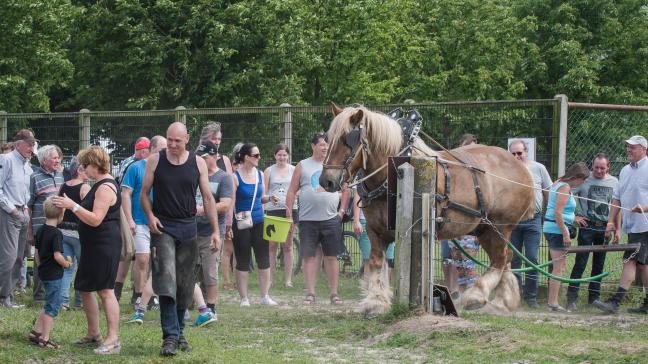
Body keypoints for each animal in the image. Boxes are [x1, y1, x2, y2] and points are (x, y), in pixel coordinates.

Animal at [320, 104, 536, 318]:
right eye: (329, 139)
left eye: (347, 139)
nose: (326, 181)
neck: (390, 171)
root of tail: (521, 168)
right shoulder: (375, 230)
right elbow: (375, 262)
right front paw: (376, 302)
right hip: (483, 228)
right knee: (506, 257)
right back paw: (502, 302)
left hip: (500, 226)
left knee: (500, 259)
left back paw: (476, 296)